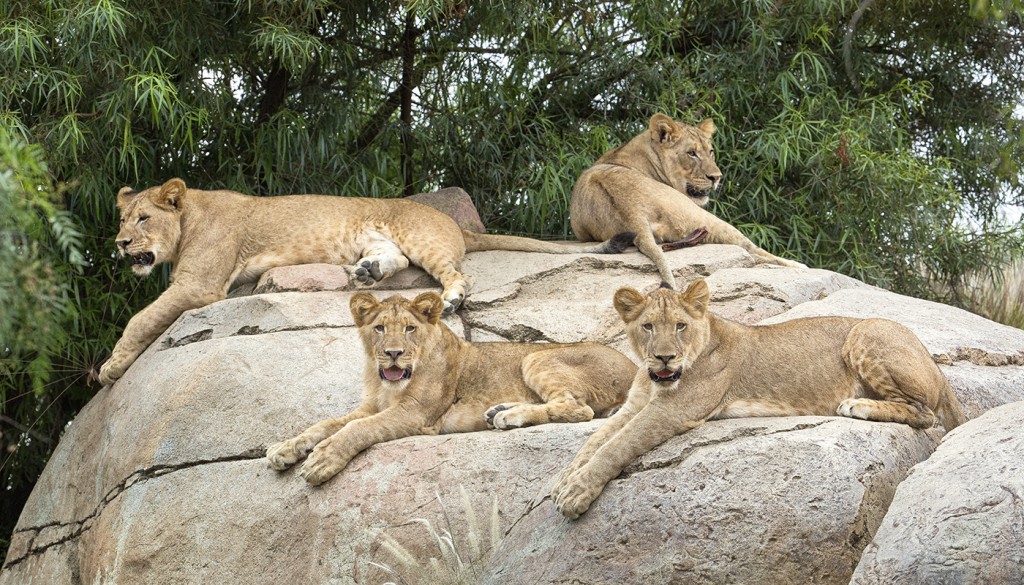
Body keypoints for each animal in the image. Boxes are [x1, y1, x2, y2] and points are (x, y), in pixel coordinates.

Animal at [99, 181, 634, 387]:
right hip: (378, 239)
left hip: (422, 239)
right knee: (391, 261)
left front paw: (110, 367)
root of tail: (454, 222)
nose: (121, 244)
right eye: (123, 218)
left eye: (143, 218)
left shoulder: (201, 285)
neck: (188, 219)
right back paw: (365, 273)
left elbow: (140, 317)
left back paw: (451, 298)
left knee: (456, 273)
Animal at [266, 293, 630, 485]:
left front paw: (321, 460)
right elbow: (326, 424)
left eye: (410, 328)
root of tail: (633, 368)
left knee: (578, 408)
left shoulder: (417, 413)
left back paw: (508, 417)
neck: (388, 383)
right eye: (380, 328)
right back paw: (500, 411)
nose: (393, 353)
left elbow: (359, 428)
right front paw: (284, 449)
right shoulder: (370, 405)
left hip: (537, 356)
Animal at [552, 280, 958, 520]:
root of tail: (938, 368)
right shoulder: (634, 406)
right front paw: (565, 479)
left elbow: (617, 445)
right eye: (648, 327)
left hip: (866, 331)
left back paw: (858, 405)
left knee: (924, 414)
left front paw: (576, 492)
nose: (665, 358)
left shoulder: (674, 410)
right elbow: (596, 439)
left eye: (681, 326)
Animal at [573, 111, 802, 288]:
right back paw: (799, 265)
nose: (716, 177)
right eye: (692, 153)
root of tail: (633, 216)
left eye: (710, 152)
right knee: (751, 248)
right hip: (704, 218)